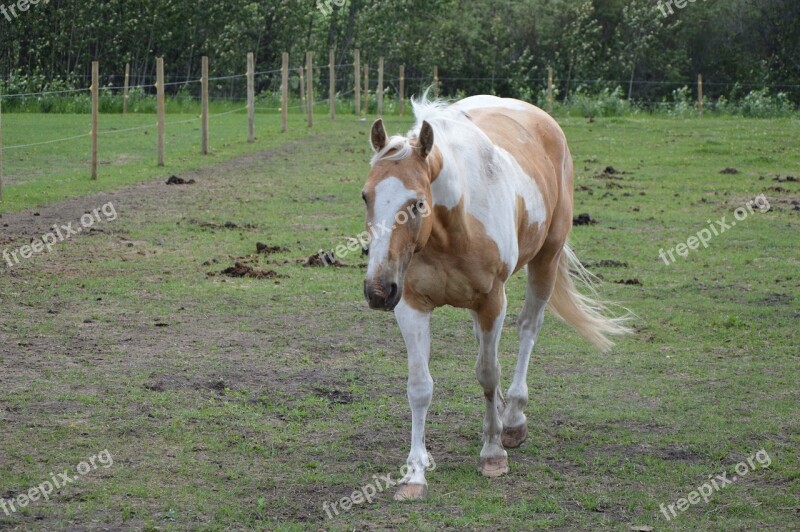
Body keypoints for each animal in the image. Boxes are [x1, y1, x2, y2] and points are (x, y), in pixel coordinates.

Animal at [360, 94, 632, 498]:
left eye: (418, 203)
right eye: (366, 196)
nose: (378, 290)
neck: (451, 231)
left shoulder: (491, 300)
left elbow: (487, 374)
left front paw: (493, 454)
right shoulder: (411, 305)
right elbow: (420, 387)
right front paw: (415, 473)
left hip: (545, 261)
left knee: (528, 329)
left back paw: (513, 419)